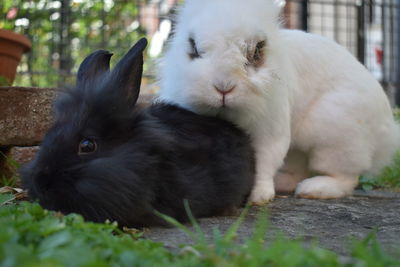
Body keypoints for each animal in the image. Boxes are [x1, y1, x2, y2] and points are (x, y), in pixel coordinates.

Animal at [157, 0, 400, 204]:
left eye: (257, 50)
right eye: (194, 48)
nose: (223, 87)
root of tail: (387, 133)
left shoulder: (269, 132)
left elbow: (264, 162)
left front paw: (258, 197)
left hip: (337, 135)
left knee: (346, 176)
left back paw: (314, 189)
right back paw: (284, 184)